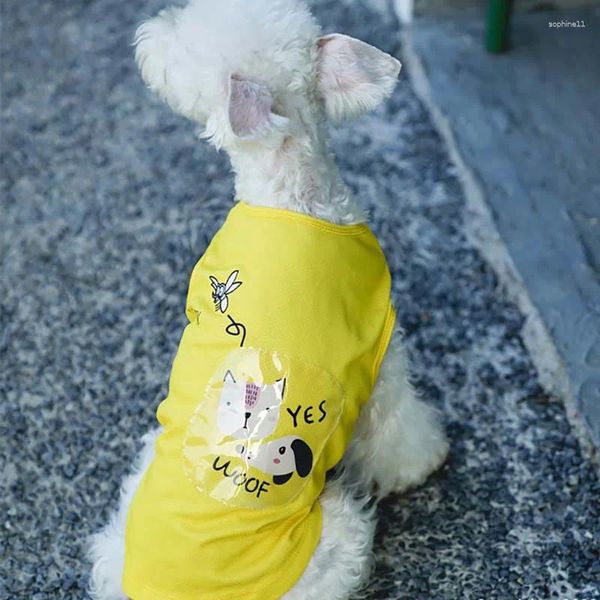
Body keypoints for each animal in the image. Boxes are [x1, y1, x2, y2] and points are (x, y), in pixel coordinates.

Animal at [88, 1, 446, 600]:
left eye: (180, 50)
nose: (145, 33)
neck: (291, 193)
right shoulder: (382, 348)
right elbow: (399, 429)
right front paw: (422, 465)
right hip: (337, 536)